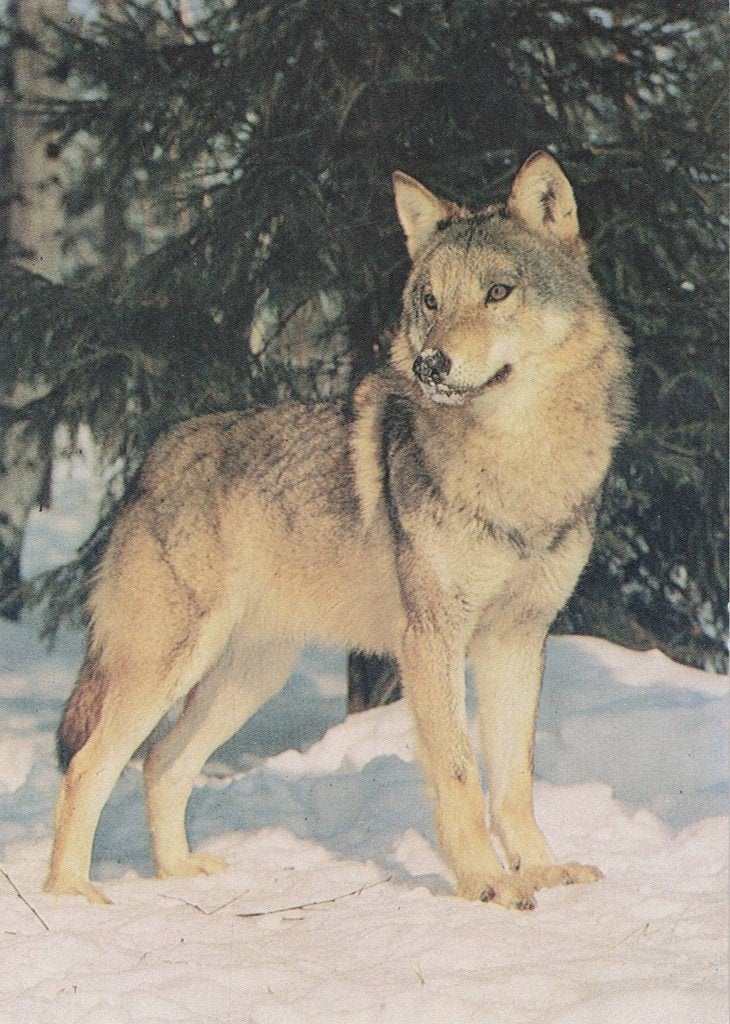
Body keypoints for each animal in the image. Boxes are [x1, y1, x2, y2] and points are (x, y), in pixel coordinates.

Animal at [45, 152, 631, 909]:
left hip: (247, 678)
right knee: (89, 763)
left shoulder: (519, 638)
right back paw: (69, 894)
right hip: (165, 666)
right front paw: (485, 884)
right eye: (431, 301)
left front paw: (541, 870)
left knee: (160, 762)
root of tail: (152, 460)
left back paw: (177, 873)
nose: (431, 365)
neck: (518, 462)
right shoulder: (431, 641)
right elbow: (461, 777)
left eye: (499, 292)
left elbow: (514, 783)